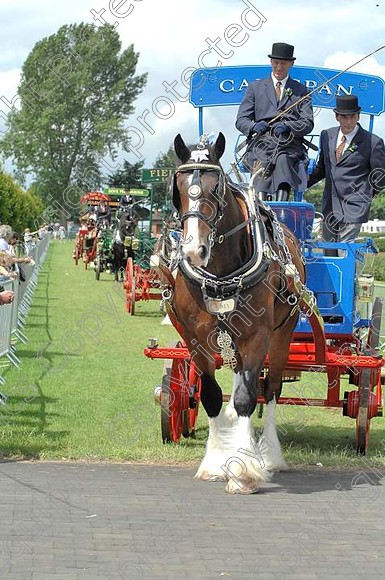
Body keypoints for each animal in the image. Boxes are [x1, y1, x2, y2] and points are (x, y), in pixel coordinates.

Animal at [171, 133, 306, 494]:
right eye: (178, 185)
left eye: (216, 186)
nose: (194, 249)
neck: (220, 274)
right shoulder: (197, 339)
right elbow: (212, 396)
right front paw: (214, 463)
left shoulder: (256, 336)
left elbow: (249, 397)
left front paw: (244, 471)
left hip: (282, 335)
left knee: (270, 390)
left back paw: (269, 455)